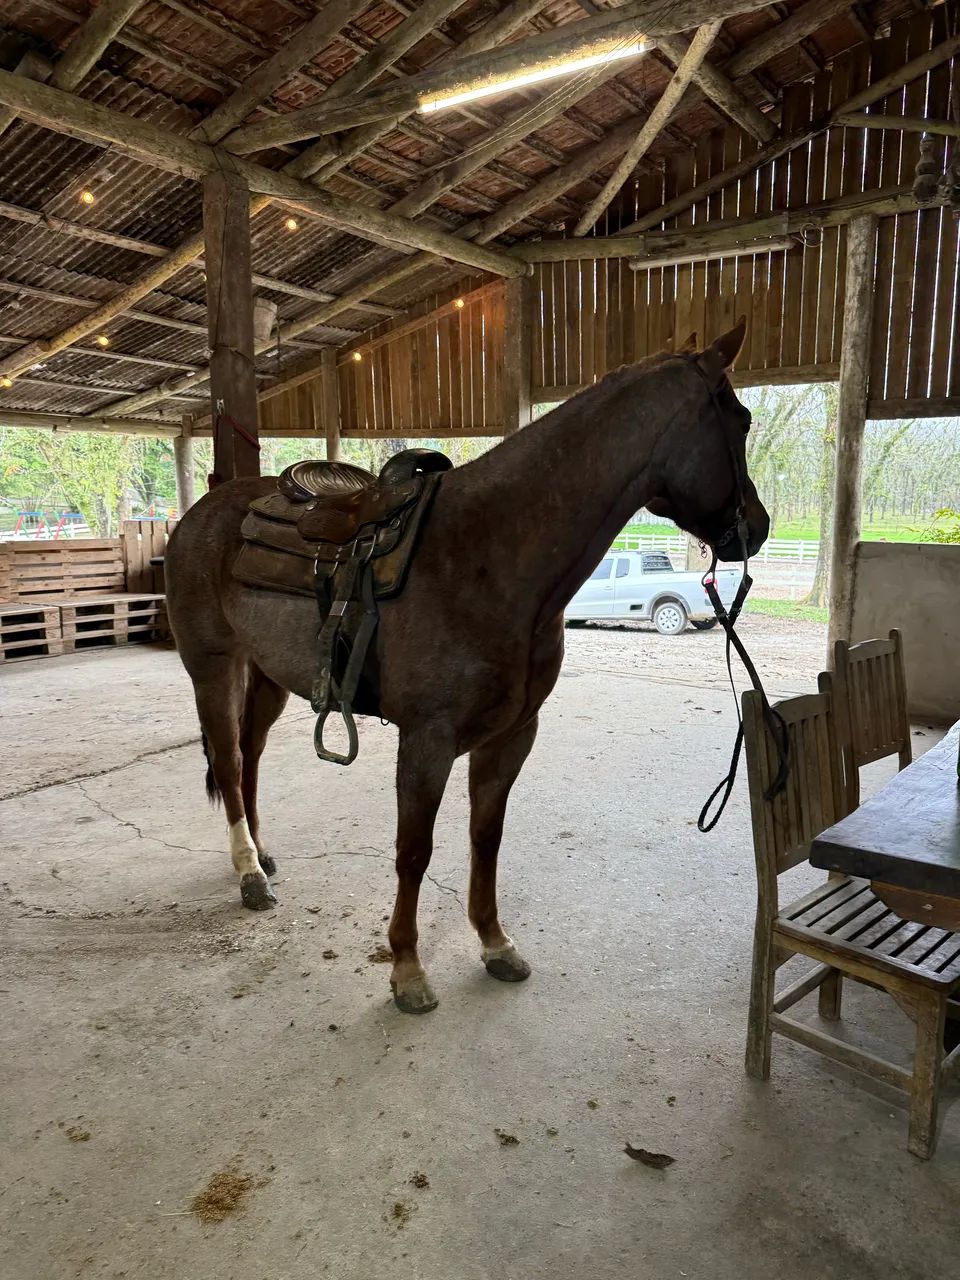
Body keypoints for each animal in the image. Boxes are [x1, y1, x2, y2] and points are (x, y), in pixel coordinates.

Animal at [164, 319, 769, 1014]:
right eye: (741, 420)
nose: (758, 527)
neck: (488, 556)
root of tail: (202, 513)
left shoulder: (511, 735)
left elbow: (486, 837)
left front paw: (494, 943)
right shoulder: (427, 741)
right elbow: (414, 851)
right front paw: (406, 968)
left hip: (266, 676)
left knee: (251, 755)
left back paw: (262, 857)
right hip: (213, 668)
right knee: (228, 761)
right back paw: (248, 875)